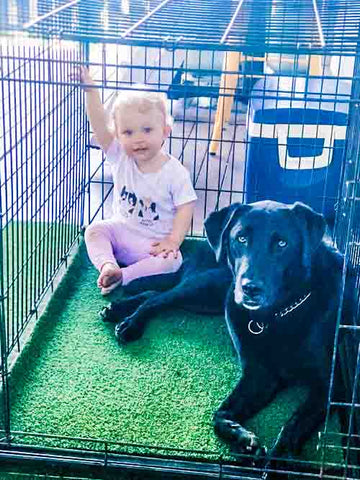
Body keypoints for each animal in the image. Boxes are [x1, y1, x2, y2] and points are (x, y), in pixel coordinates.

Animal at [100, 200, 356, 468]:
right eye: (241, 238)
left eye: (282, 244)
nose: (250, 288)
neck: (278, 314)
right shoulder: (258, 374)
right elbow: (218, 416)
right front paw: (245, 440)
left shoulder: (330, 385)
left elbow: (293, 423)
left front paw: (277, 458)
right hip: (208, 286)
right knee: (158, 297)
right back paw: (127, 320)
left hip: (208, 298)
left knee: (156, 294)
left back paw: (120, 311)